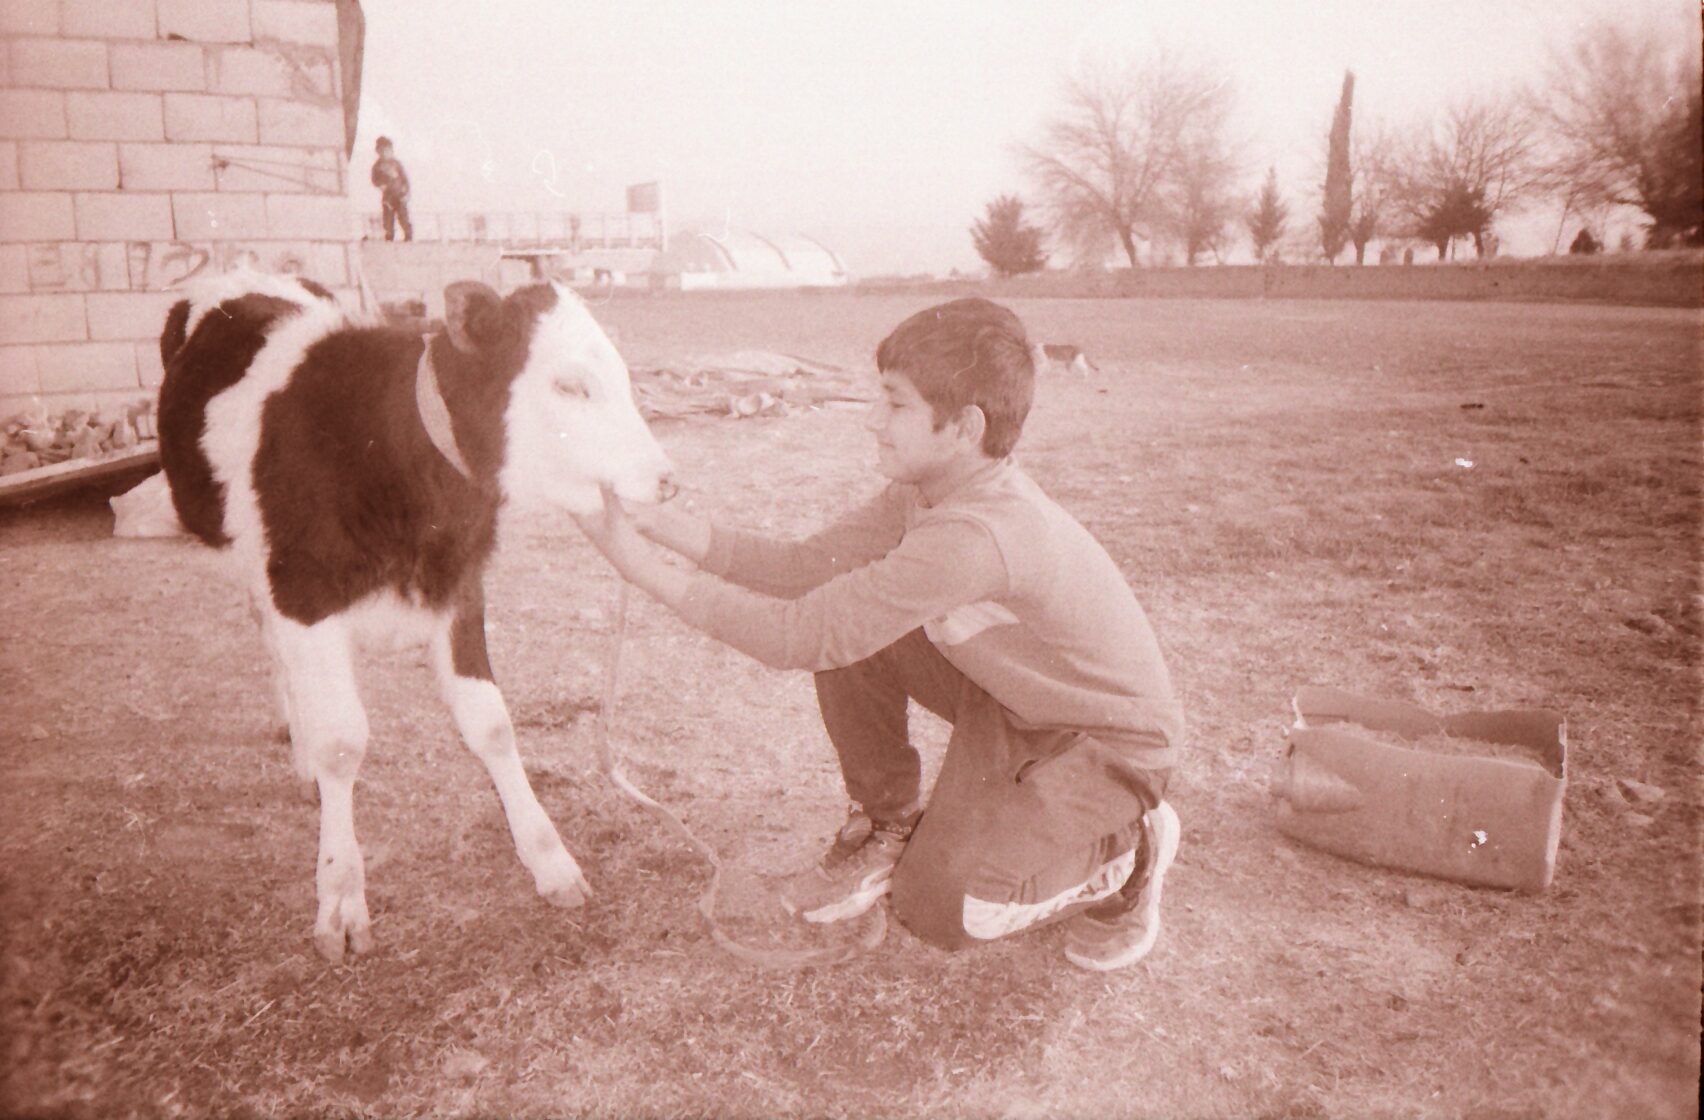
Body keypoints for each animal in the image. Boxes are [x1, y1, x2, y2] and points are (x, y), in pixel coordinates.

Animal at [155, 272, 671, 961]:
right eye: (569, 385)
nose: (666, 480)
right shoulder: (302, 591)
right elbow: (342, 741)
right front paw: (340, 896)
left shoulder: (460, 590)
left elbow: (492, 726)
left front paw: (549, 859)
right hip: (258, 565)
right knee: (273, 644)